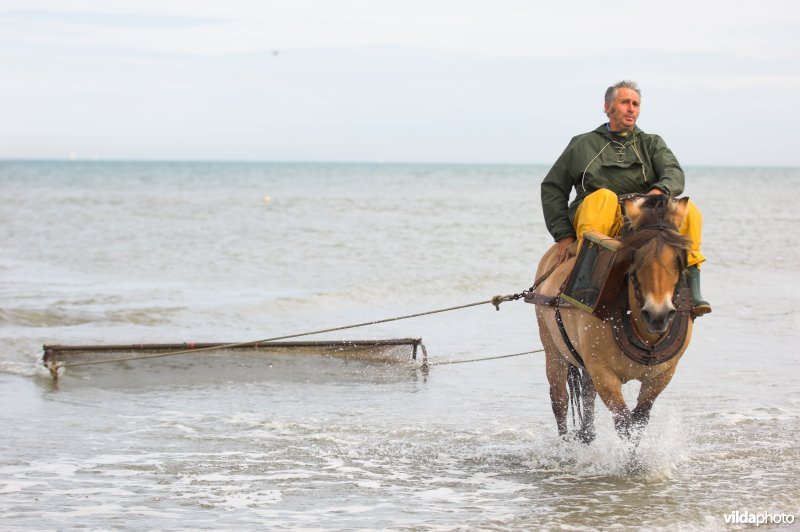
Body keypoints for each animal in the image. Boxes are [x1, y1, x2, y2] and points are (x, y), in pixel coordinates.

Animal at [534, 195, 693, 443]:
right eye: (635, 258)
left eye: (678, 259)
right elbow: (624, 424)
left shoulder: (661, 376)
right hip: (552, 348)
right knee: (559, 398)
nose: (658, 314)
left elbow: (639, 422)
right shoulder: (604, 375)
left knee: (586, 393)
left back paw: (586, 435)